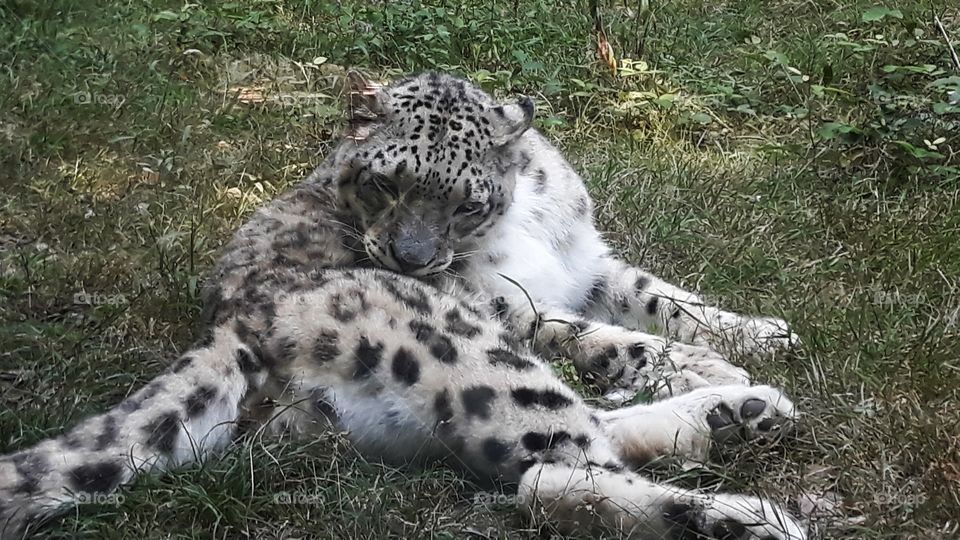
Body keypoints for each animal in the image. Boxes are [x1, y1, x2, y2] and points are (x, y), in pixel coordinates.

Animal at [0, 71, 806, 539]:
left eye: (464, 202)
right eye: (385, 184)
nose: (412, 259)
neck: (527, 223)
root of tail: (233, 327)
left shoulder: (587, 262)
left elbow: (658, 297)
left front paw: (761, 336)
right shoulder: (505, 304)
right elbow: (605, 335)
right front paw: (708, 364)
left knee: (572, 443)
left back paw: (744, 412)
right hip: (469, 348)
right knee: (544, 474)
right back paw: (745, 513)